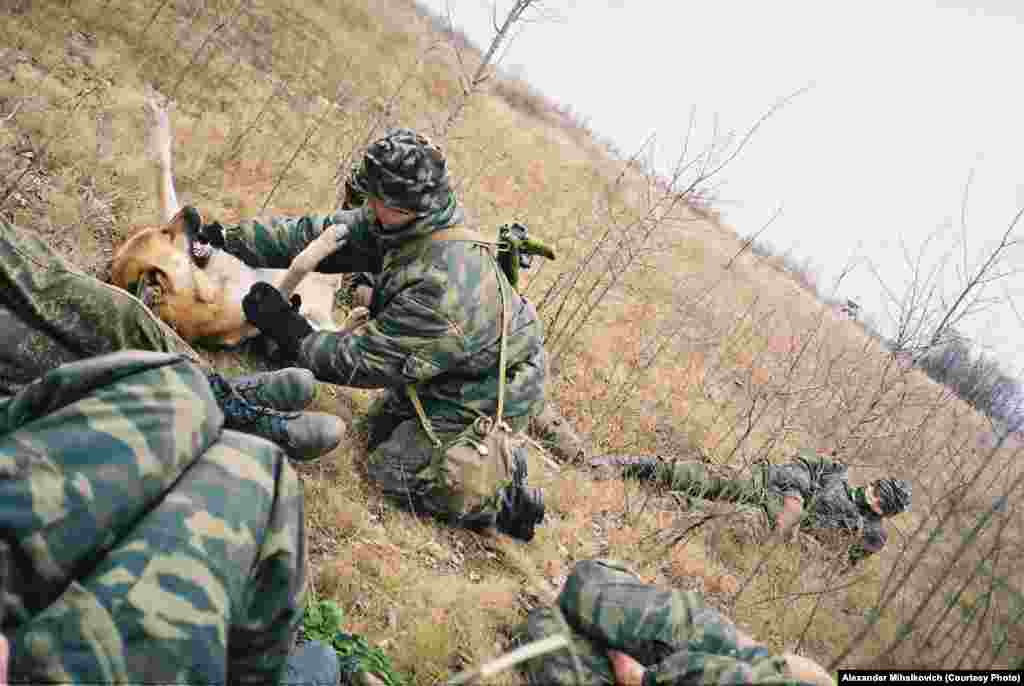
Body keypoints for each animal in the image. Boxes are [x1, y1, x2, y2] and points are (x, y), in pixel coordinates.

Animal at [109, 94, 344, 346]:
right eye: (166, 234)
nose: (190, 208)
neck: (205, 282)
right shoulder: (267, 300)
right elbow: (299, 264)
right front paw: (327, 240)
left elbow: (162, 172)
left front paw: (159, 125)